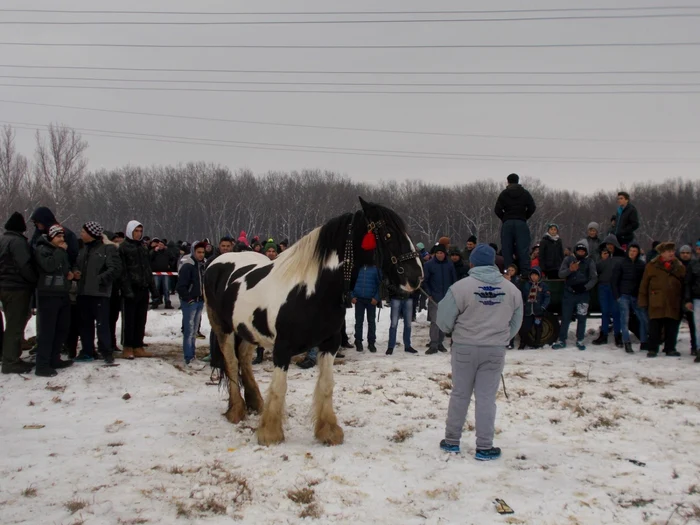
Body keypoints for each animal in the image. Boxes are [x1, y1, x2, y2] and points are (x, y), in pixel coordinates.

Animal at [202, 199, 422, 444]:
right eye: (388, 234)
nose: (416, 277)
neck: (311, 290)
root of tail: (217, 261)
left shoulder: (330, 344)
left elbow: (326, 385)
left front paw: (328, 431)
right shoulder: (282, 349)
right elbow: (280, 387)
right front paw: (270, 433)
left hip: (249, 331)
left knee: (244, 360)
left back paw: (256, 403)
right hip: (223, 328)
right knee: (231, 362)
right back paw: (236, 410)